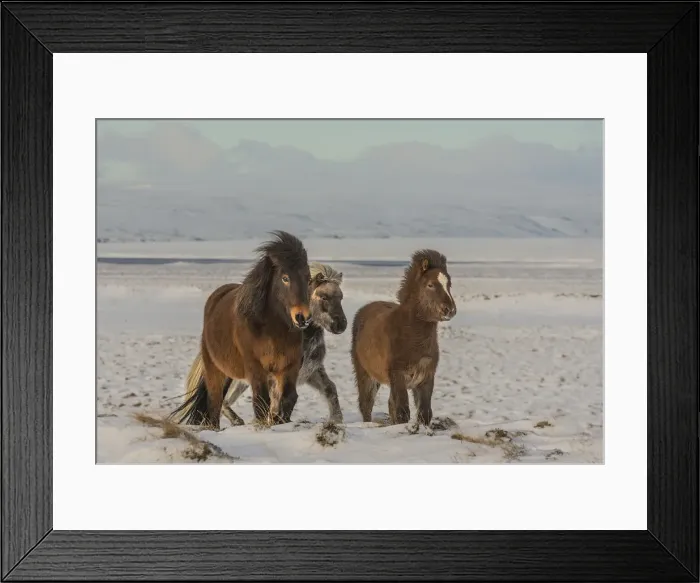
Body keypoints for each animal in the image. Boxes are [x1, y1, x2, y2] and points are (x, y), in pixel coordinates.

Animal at [168, 231, 312, 428]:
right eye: (285, 278)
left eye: (308, 278)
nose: (302, 317)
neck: (273, 331)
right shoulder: (256, 368)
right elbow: (261, 401)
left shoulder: (289, 366)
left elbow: (288, 399)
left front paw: (279, 422)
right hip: (215, 371)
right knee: (214, 404)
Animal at [181, 262, 348, 426]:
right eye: (323, 297)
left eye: (341, 297)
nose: (341, 325)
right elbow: (275, 401)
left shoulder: (311, 371)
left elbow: (330, 389)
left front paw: (337, 419)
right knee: (222, 400)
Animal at [350, 249, 457, 428]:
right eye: (430, 285)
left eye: (449, 284)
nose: (450, 310)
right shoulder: (398, 377)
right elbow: (402, 412)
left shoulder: (426, 377)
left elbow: (424, 413)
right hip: (366, 374)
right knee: (366, 404)